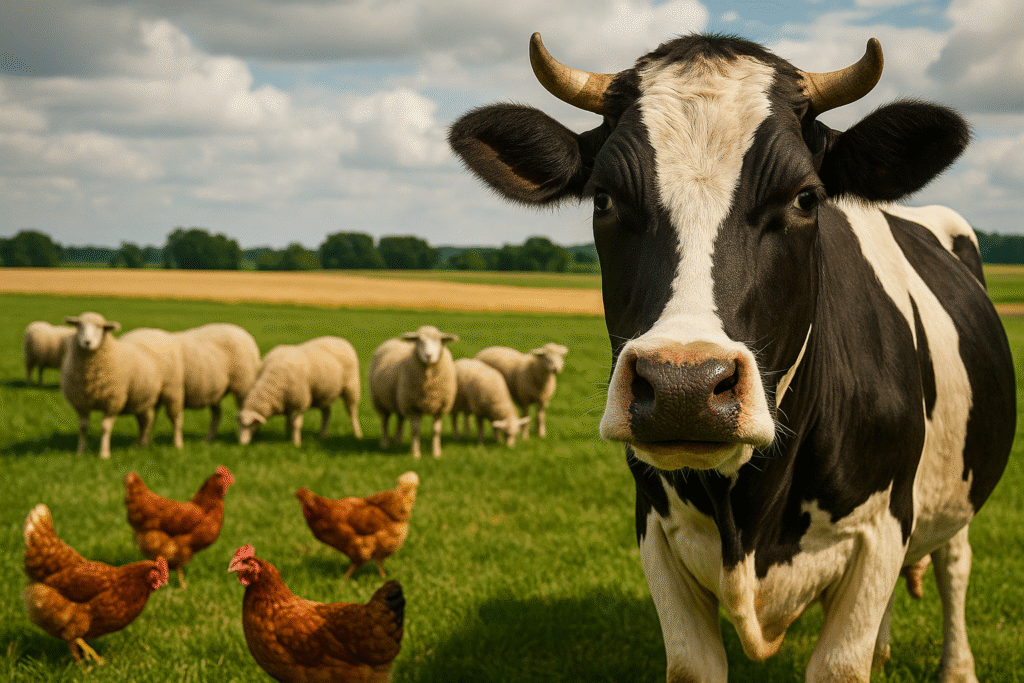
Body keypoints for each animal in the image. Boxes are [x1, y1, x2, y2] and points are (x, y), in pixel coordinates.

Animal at [61, 312, 185, 459]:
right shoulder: (81, 403)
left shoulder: (113, 401)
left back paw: (177, 444)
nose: (87, 342)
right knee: (146, 421)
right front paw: (80, 452)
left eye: (101, 327)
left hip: (172, 391)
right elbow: (83, 427)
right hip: (142, 397)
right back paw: (141, 444)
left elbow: (105, 427)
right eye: (79, 325)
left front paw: (104, 454)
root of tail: (153, 330)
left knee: (175, 419)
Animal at [369, 325, 458, 459]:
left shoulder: (440, 408)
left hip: (399, 401)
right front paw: (416, 453)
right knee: (385, 421)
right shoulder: (413, 407)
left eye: (438, 340)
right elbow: (415, 430)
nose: (428, 355)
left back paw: (398, 441)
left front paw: (436, 453)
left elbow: (436, 431)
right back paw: (385, 443)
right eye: (419, 340)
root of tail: (392, 340)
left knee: (400, 420)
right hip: (380, 402)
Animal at [448, 33, 1015, 683]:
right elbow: (695, 665)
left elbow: (843, 663)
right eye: (604, 199)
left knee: (954, 563)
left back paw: (956, 667)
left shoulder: (882, 527)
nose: (684, 387)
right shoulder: (655, 528)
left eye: (805, 198)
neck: (747, 514)